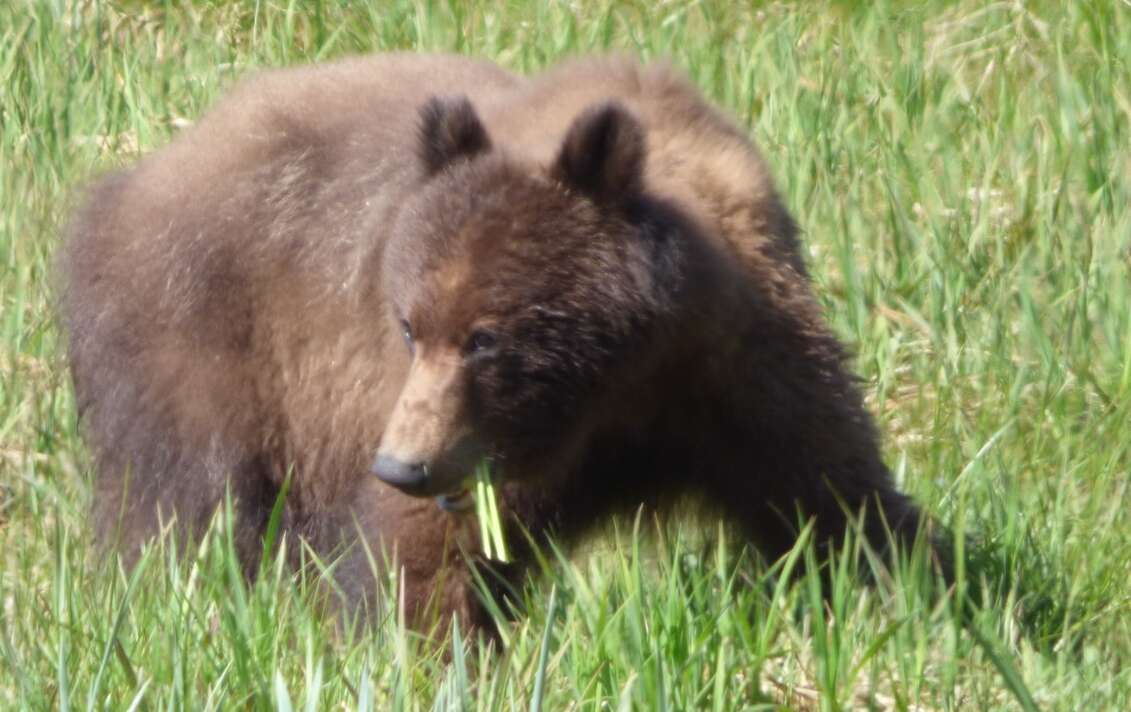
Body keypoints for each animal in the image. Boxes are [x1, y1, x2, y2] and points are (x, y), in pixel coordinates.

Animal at [59, 53, 927, 637]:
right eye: (407, 324)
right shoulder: (476, 446)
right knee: (185, 507)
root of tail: (144, 171)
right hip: (201, 340)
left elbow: (840, 505)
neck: (621, 387)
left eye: (486, 337)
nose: (400, 465)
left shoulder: (742, 373)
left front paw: (915, 594)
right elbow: (432, 562)